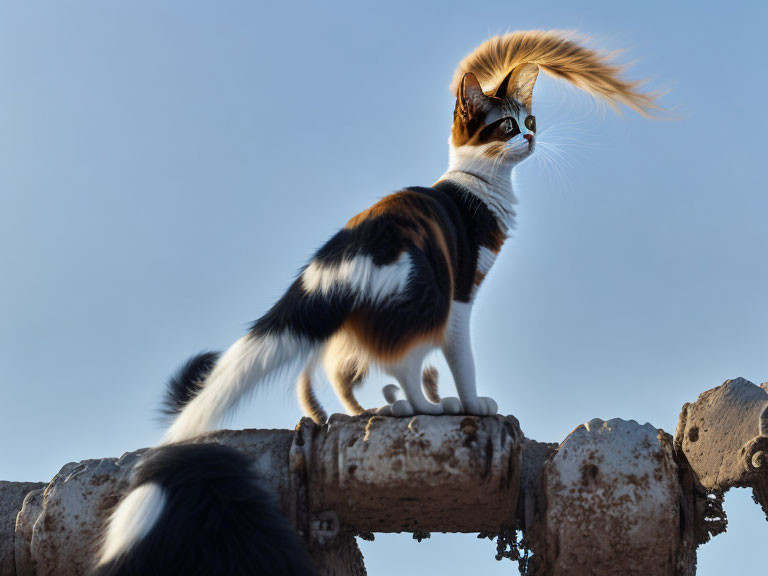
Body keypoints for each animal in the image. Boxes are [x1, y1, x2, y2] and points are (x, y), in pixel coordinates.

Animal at [91, 30, 656, 572]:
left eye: (531, 118)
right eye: (506, 127)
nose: (532, 136)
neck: (481, 183)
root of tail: (338, 257)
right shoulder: (461, 294)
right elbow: (462, 359)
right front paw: (470, 401)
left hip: (366, 321)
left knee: (347, 368)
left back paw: (386, 405)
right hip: (425, 297)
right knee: (398, 361)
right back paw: (423, 406)